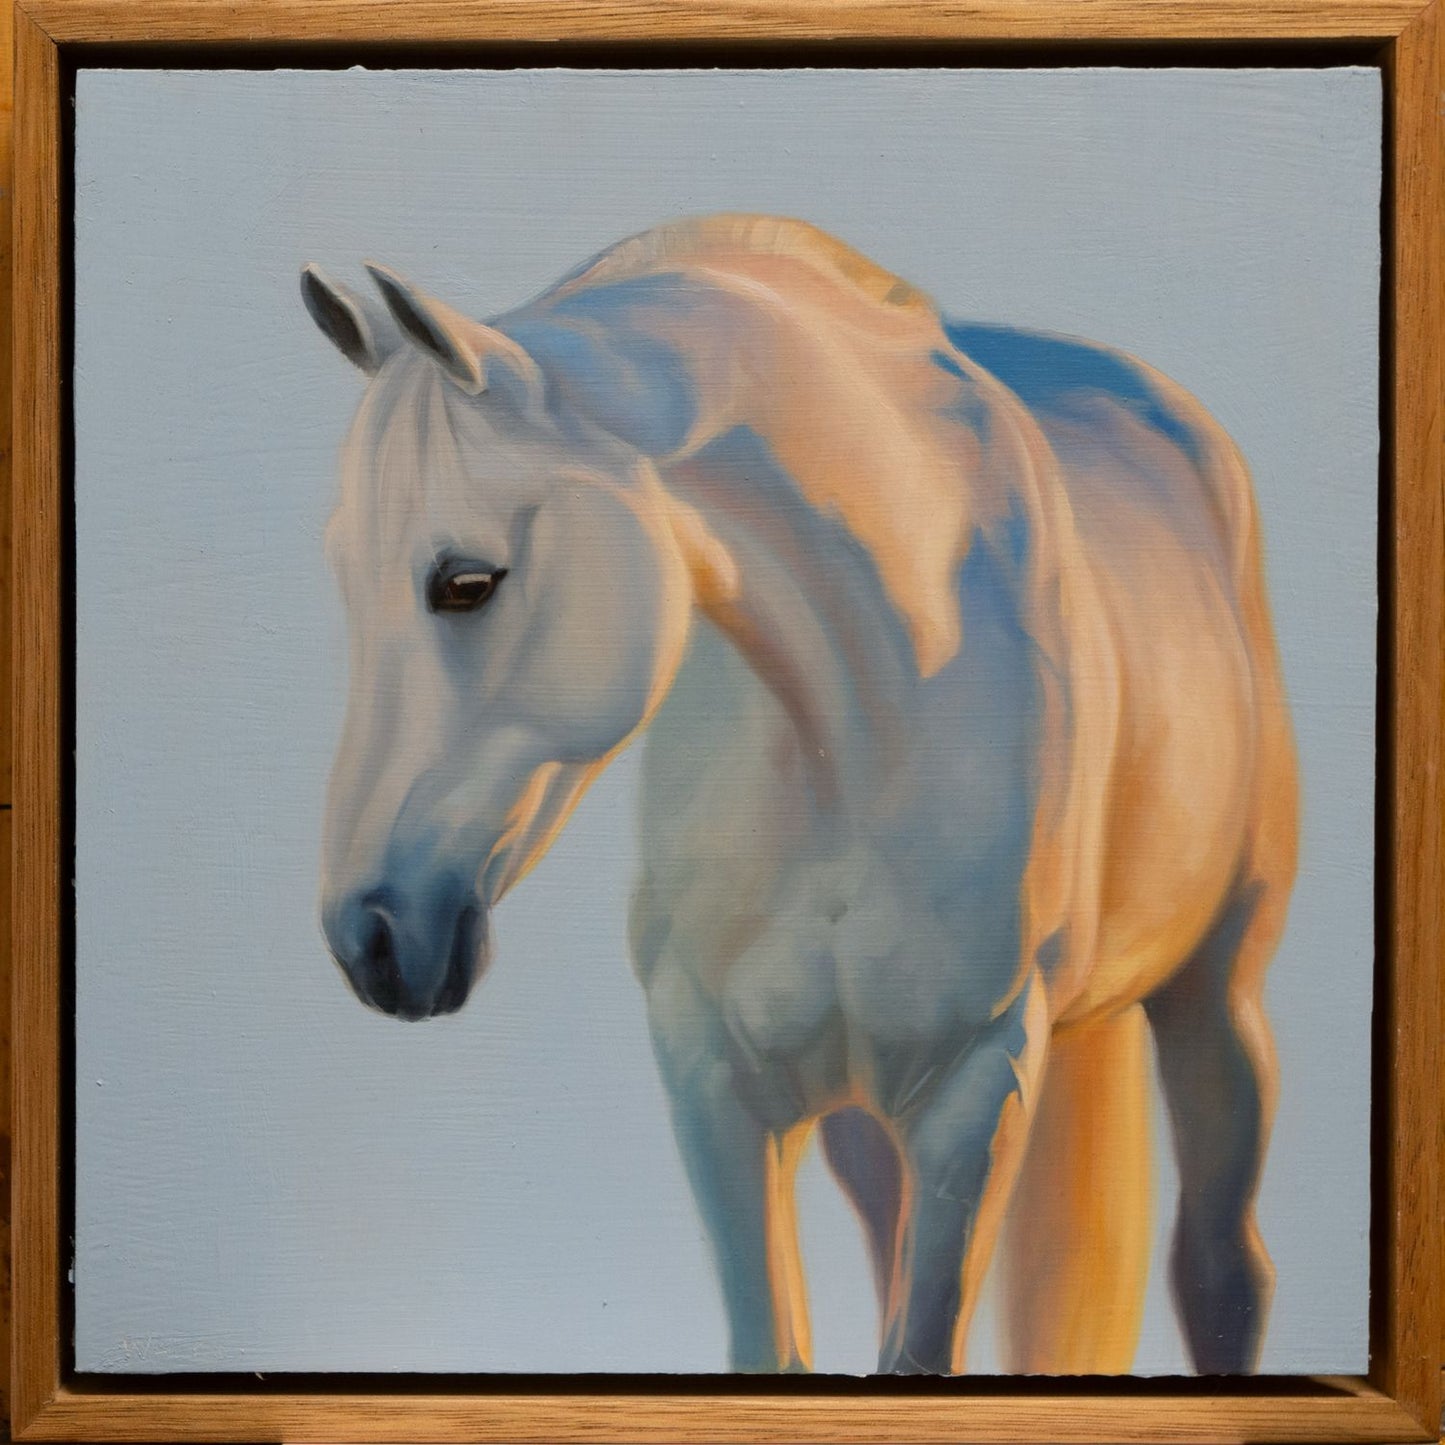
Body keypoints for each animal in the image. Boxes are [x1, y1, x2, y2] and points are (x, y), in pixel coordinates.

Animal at [302, 215, 1299, 1377]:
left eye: (465, 582)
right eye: (342, 573)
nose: (370, 936)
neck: (857, 726)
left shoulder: (978, 1087)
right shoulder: (717, 1082)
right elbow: (778, 1348)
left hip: (1215, 996)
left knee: (1221, 1270)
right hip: (870, 1117)